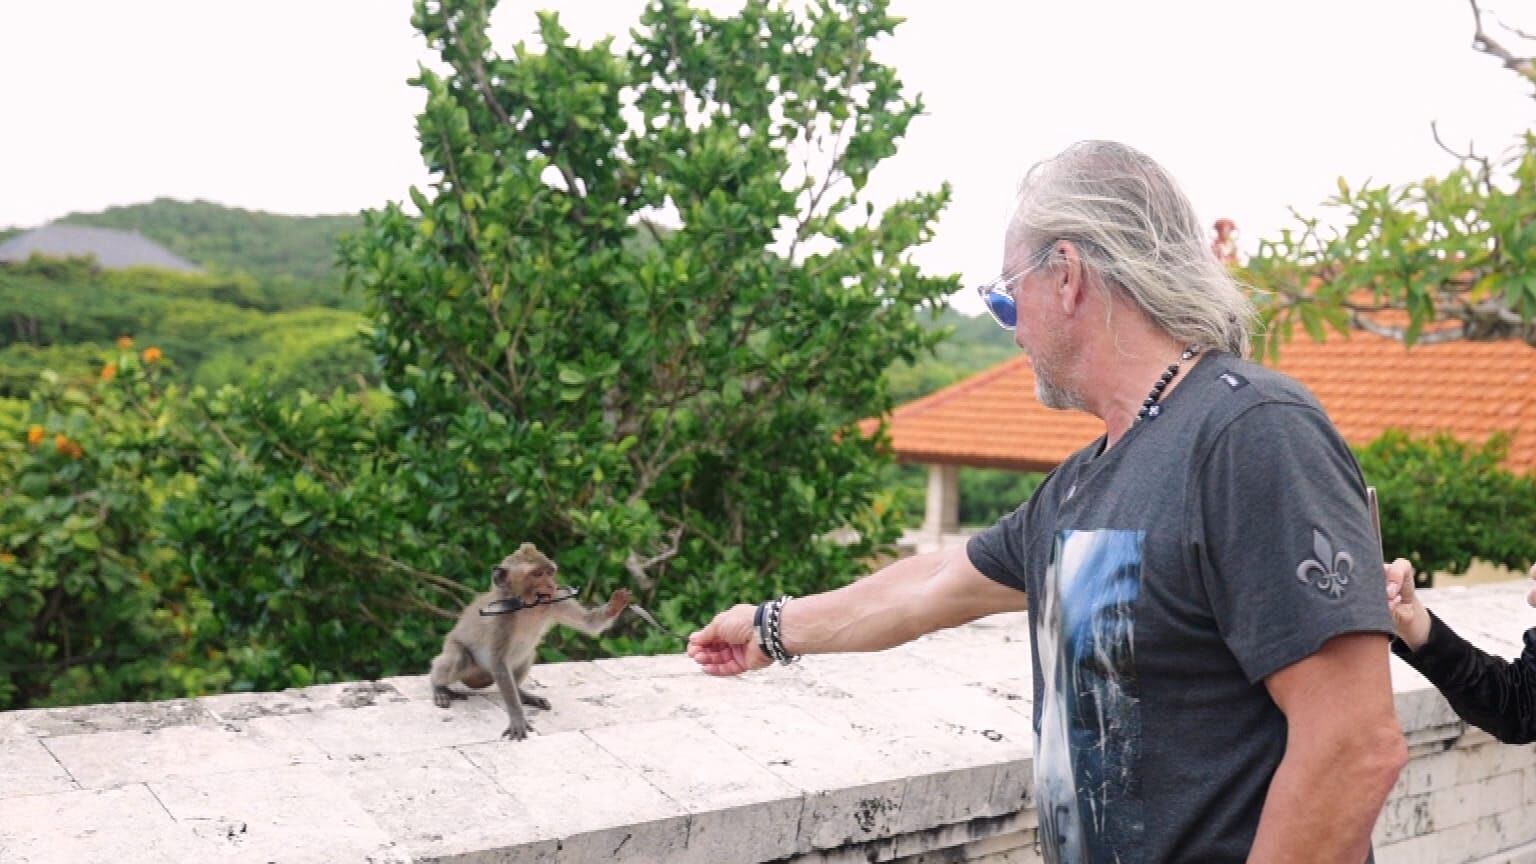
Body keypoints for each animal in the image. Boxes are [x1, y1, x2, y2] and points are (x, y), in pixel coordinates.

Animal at [427, 541, 629, 737]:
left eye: (550, 572)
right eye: (537, 574)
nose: (551, 585)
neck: (527, 605)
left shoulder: (556, 599)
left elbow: (589, 623)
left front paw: (615, 605)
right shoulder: (501, 615)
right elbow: (498, 662)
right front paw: (517, 717)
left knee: (528, 654)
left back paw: (522, 693)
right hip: (459, 653)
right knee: (459, 657)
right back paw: (438, 686)